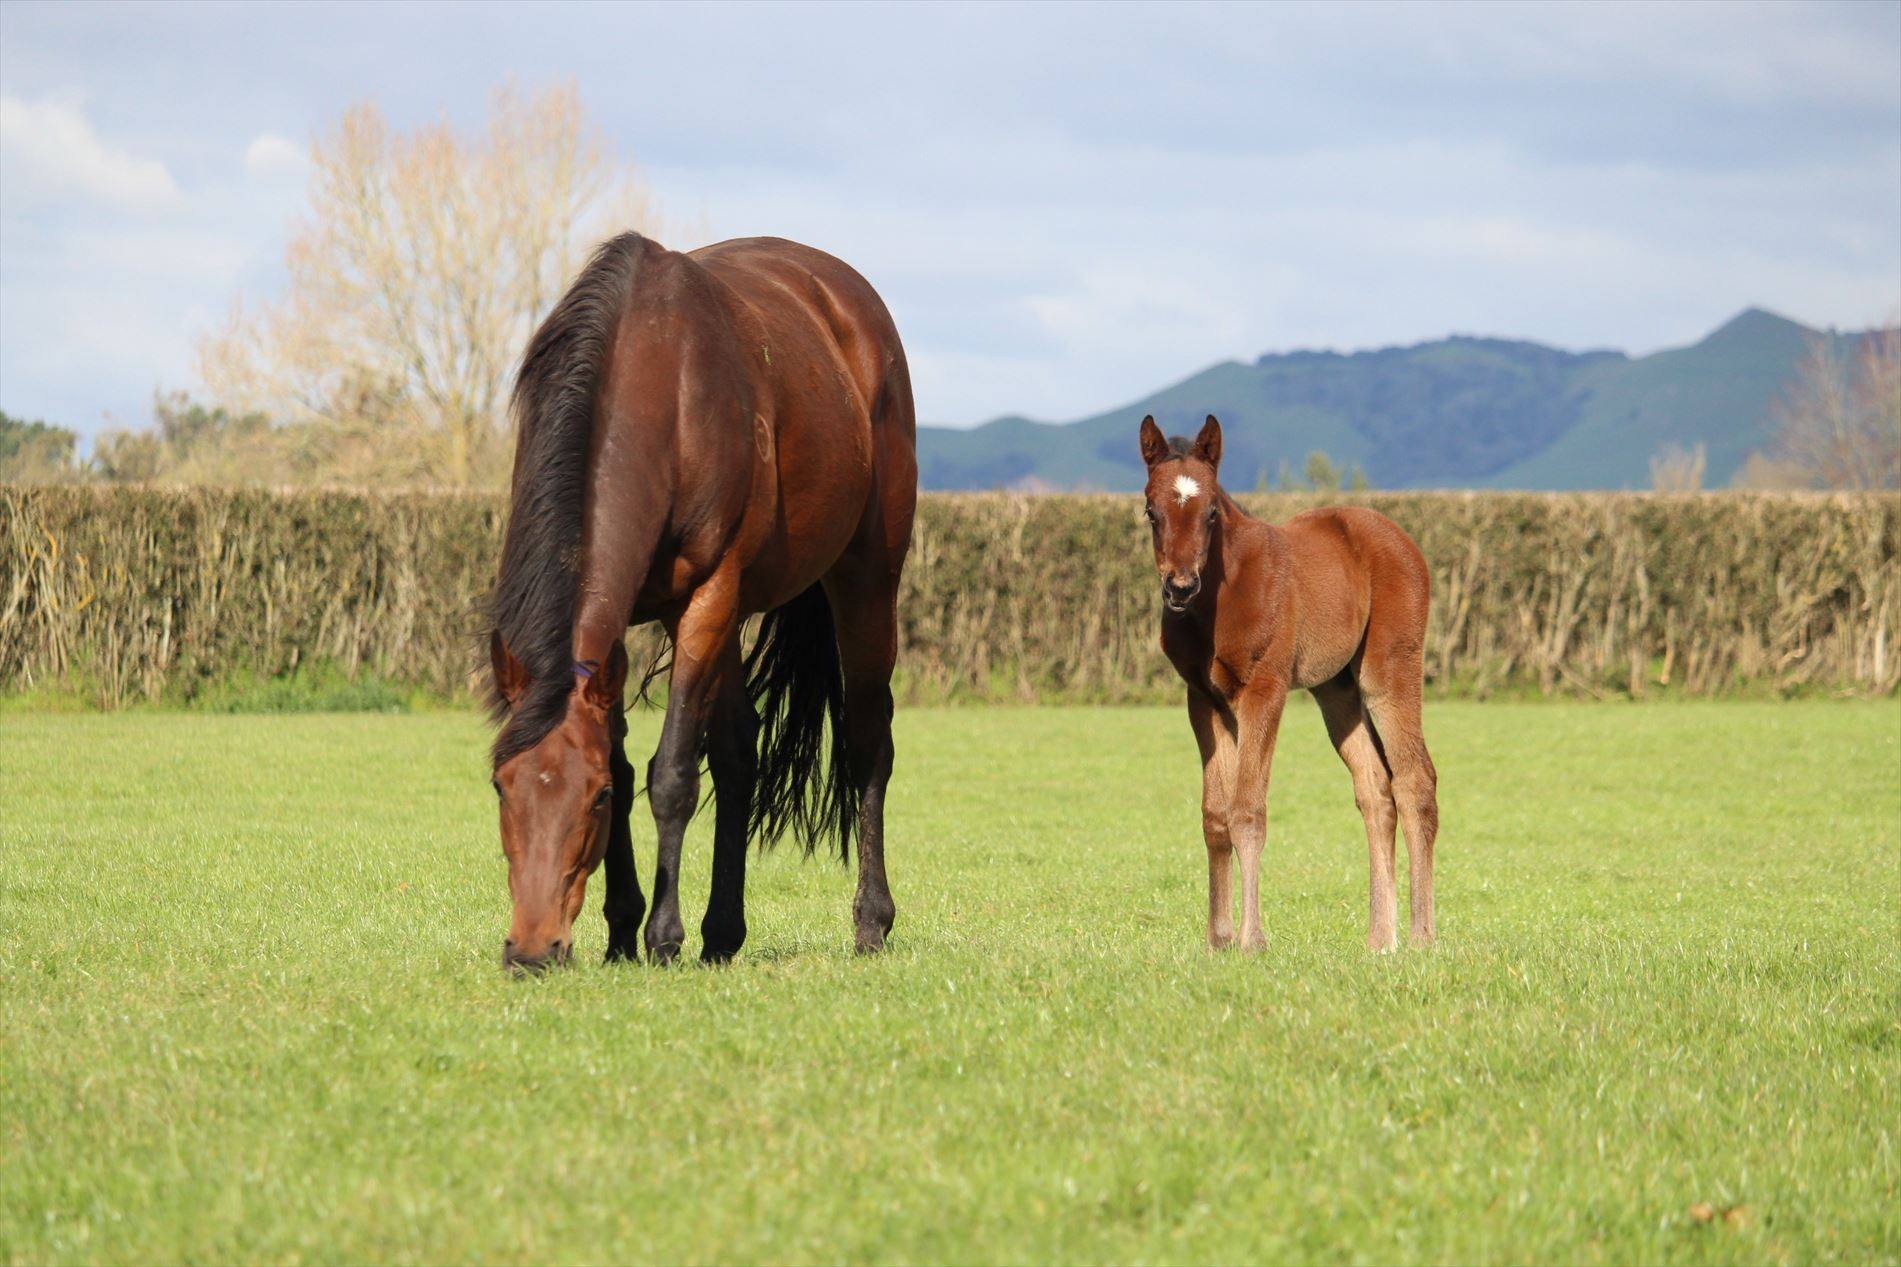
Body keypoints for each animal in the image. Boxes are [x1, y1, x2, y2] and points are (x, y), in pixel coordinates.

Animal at [482, 233, 912, 966]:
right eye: (500, 786)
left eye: (593, 800)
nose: (533, 950)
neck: (660, 390)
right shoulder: (622, 629)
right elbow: (637, 761)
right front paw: (622, 931)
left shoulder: (706, 598)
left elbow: (671, 773)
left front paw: (660, 936)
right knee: (741, 752)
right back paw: (722, 933)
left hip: (864, 580)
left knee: (865, 743)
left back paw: (869, 923)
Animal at [1132, 414, 1429, 947]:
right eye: (1150, 511)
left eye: (1212, 512)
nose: (1181, 587)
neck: (1221, 597)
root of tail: (1402, 539)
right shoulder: (1203, 700)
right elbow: (1216, 815)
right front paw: (1218, 939)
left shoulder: (1264, 691)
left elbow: (1248, 810)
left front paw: (1251, 939)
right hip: (1337, 691)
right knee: (1376, 790)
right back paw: (1380, 941)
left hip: (1390, 670)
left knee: (1415, 782)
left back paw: (1420, 938)